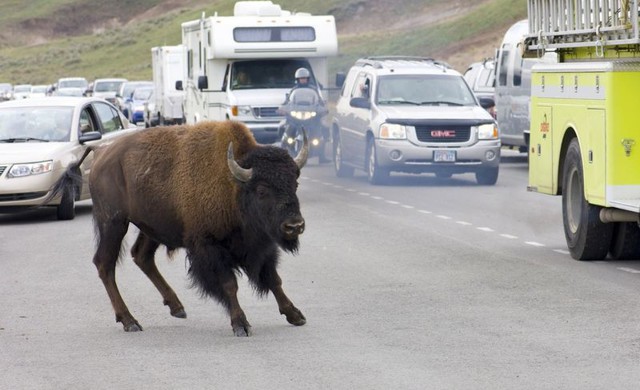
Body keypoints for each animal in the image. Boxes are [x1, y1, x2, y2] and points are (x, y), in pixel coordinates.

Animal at [48, 119, 308, 336]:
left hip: (150, 226)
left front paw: (295, 315)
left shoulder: (260, 248)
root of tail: (101, 151)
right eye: (262, 190)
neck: (235, 186)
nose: (294, 225)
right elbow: (229, 284)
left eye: (295, 183)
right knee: (105, 264)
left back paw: (176, 307)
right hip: (113, 223)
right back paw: (130, 321)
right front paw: (240, 325)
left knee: (141, 256)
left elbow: (274, 279)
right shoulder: (210, 248)